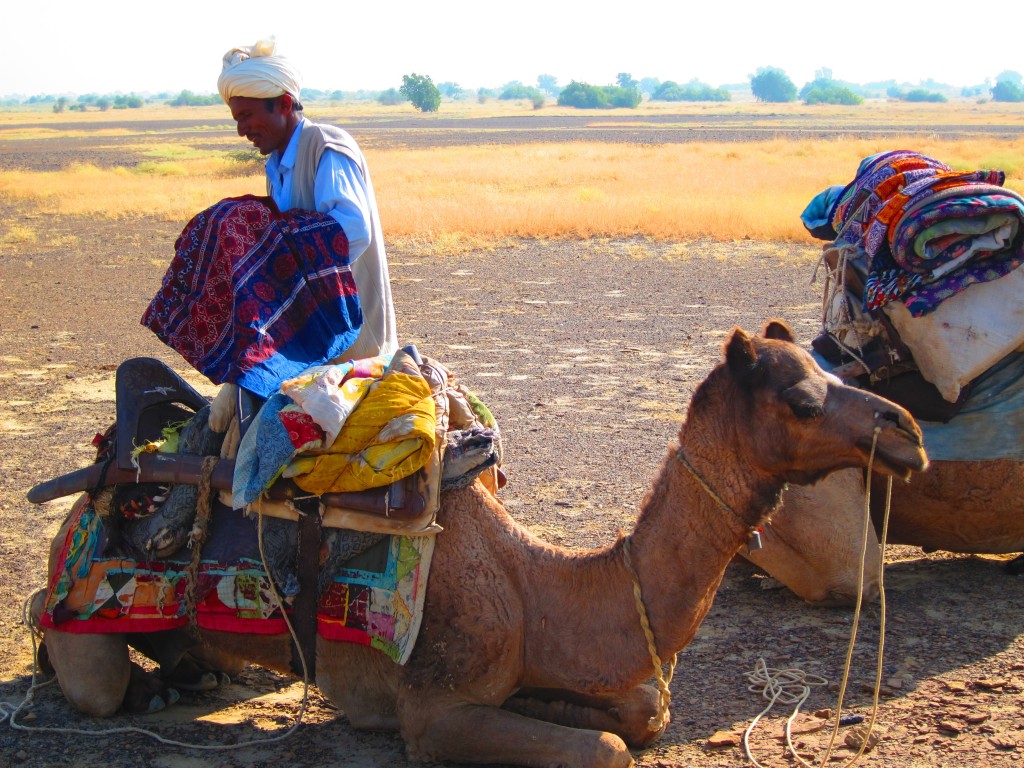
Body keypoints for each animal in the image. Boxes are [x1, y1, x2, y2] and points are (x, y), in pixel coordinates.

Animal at [32, 321, 929, 765]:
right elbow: (607, 748)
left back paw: (199, 671)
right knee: (79, 658)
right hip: (83, 605)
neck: (539, 586)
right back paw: (145, 684)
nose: (907, 431)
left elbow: (642, 711)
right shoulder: (433, 714)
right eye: (804, 398)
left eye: (835, 371)